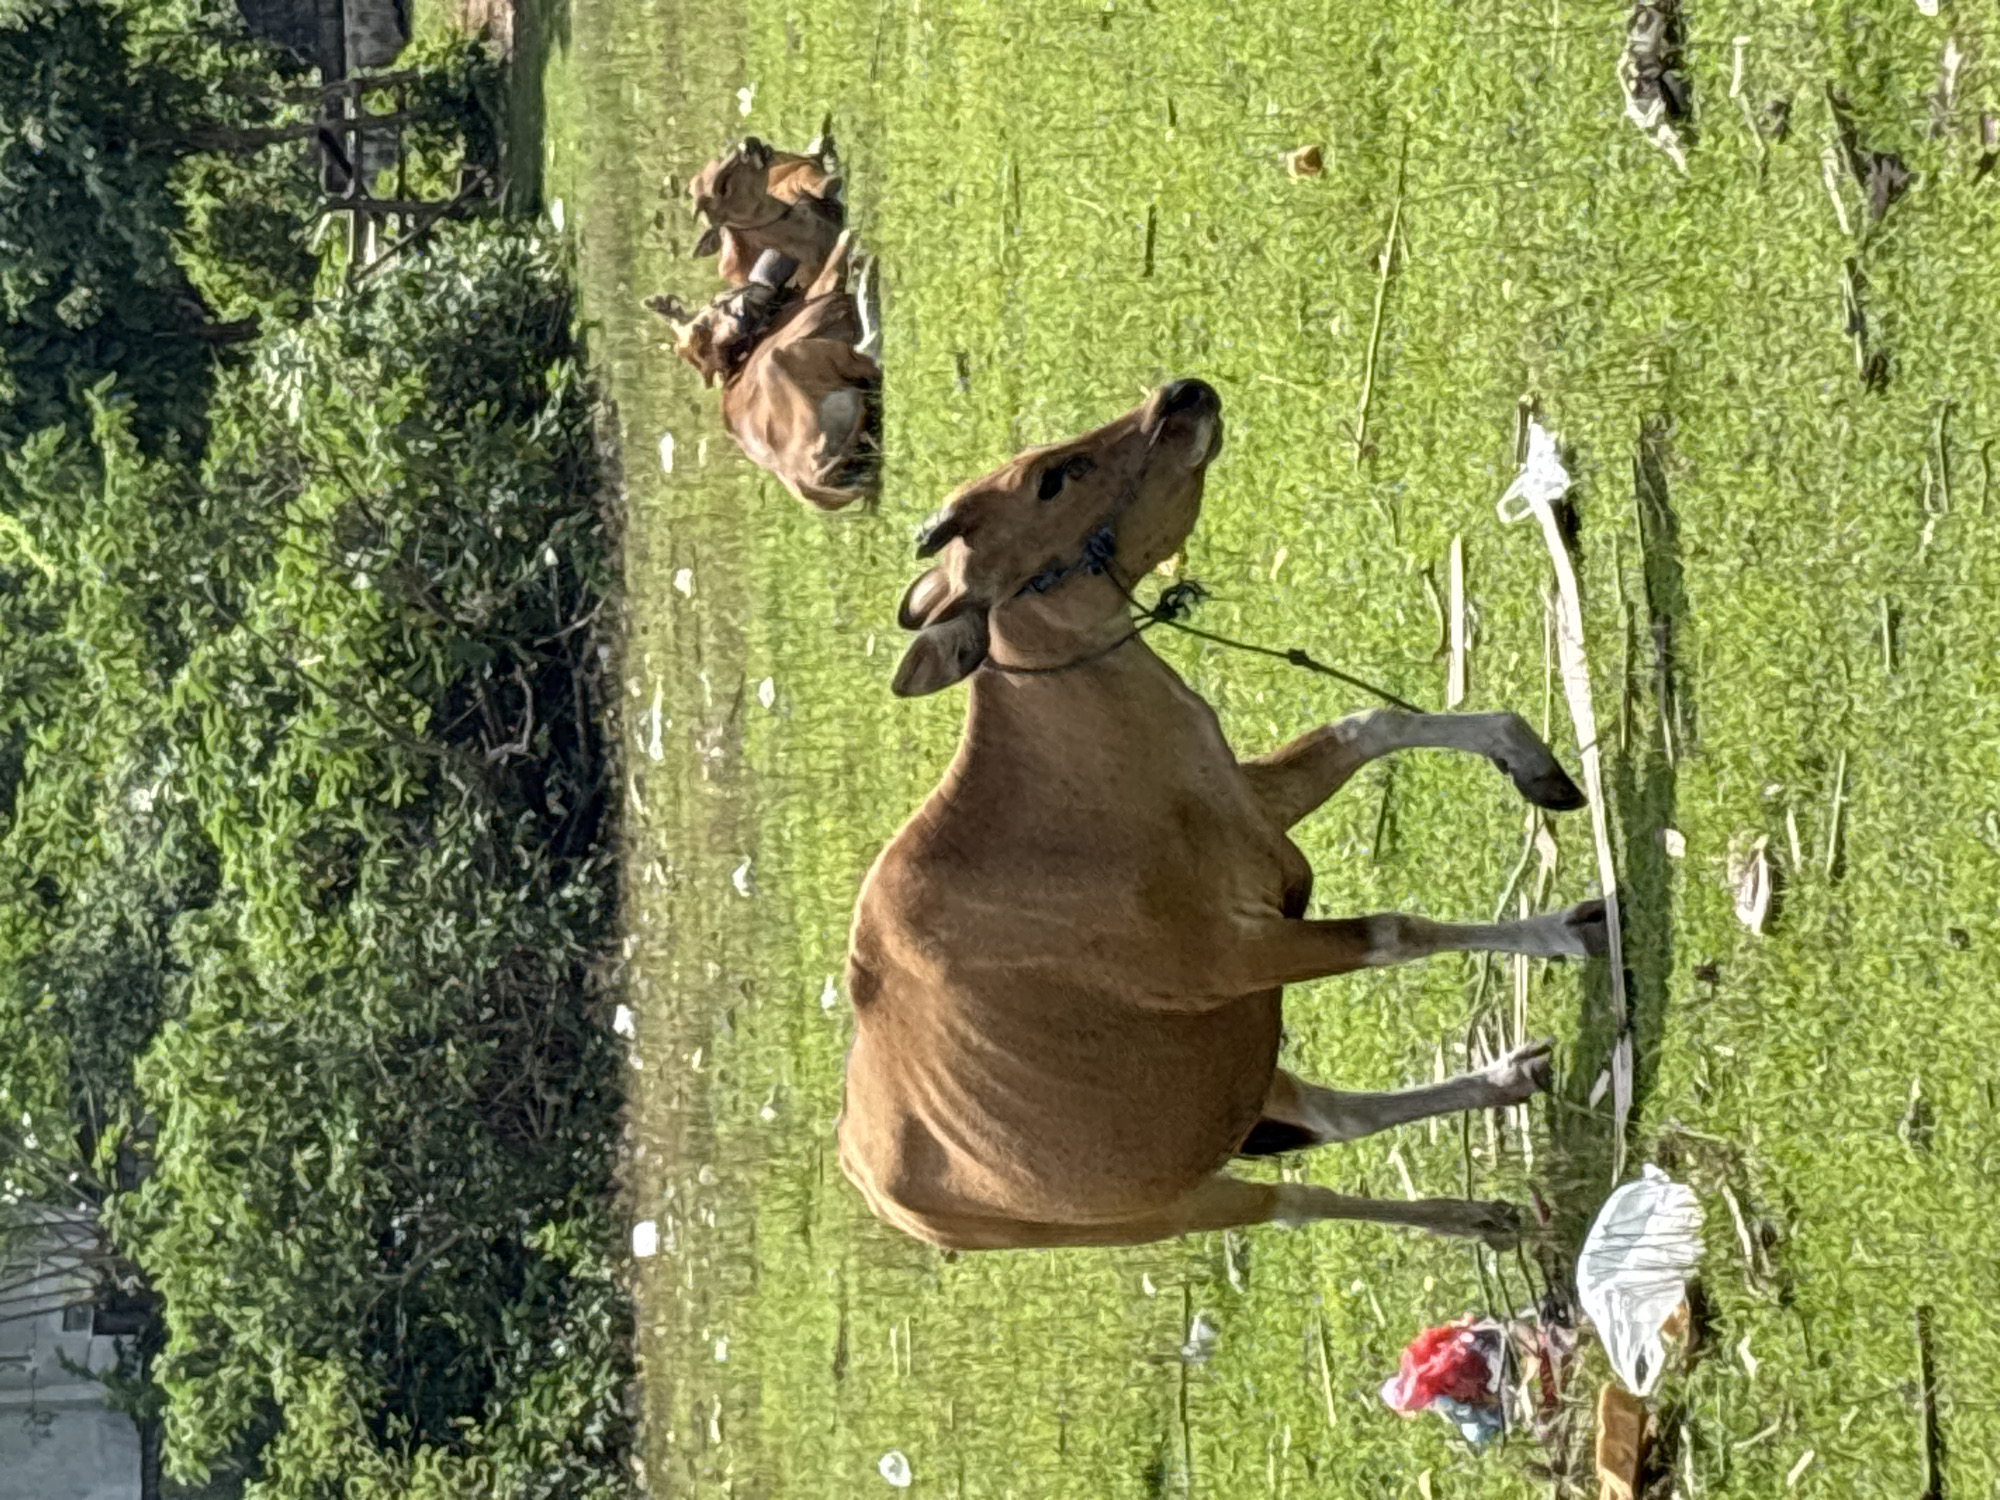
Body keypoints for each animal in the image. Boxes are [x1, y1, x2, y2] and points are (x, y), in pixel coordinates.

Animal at [646, 236, 882, 511]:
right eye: (717, 303)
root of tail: (806, 479)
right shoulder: (824, 294)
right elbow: (837, 256)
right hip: (785, 358)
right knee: (869, 356)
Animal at [836, 379, 1608, 1252]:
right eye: (1052, 480)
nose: (1183, 392)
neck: (1071, 798)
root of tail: (871, 1178)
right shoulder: (1241, 957)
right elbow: (1396, 930)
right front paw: (1565, 932)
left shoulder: (1255, 815)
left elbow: (1369, 725)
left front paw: (1530, 761)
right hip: (1169, 1204)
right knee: (1297, 1197)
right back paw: (1463, 1213)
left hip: (1236, 1086)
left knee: (1332, 1118)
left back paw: (1501, 1094)